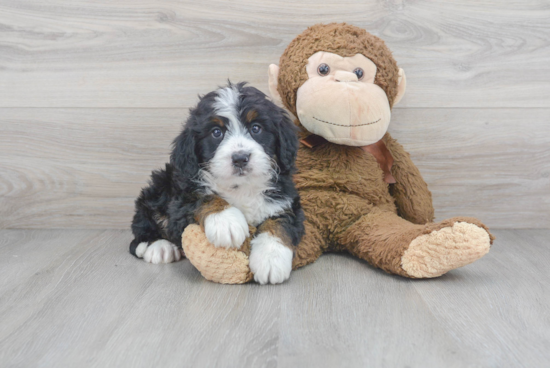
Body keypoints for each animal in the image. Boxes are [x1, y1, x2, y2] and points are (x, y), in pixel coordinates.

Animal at [132, 82, 308, 284]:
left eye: (256, 128)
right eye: (216, 132)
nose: (240, 158)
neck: (241, 187)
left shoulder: (286, 201)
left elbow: (279, 225)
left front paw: (270, 260)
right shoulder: (181, 199)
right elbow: (203, 196)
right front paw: (226, 221)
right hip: (159, 187)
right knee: (142, 227)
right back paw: (158, 247)